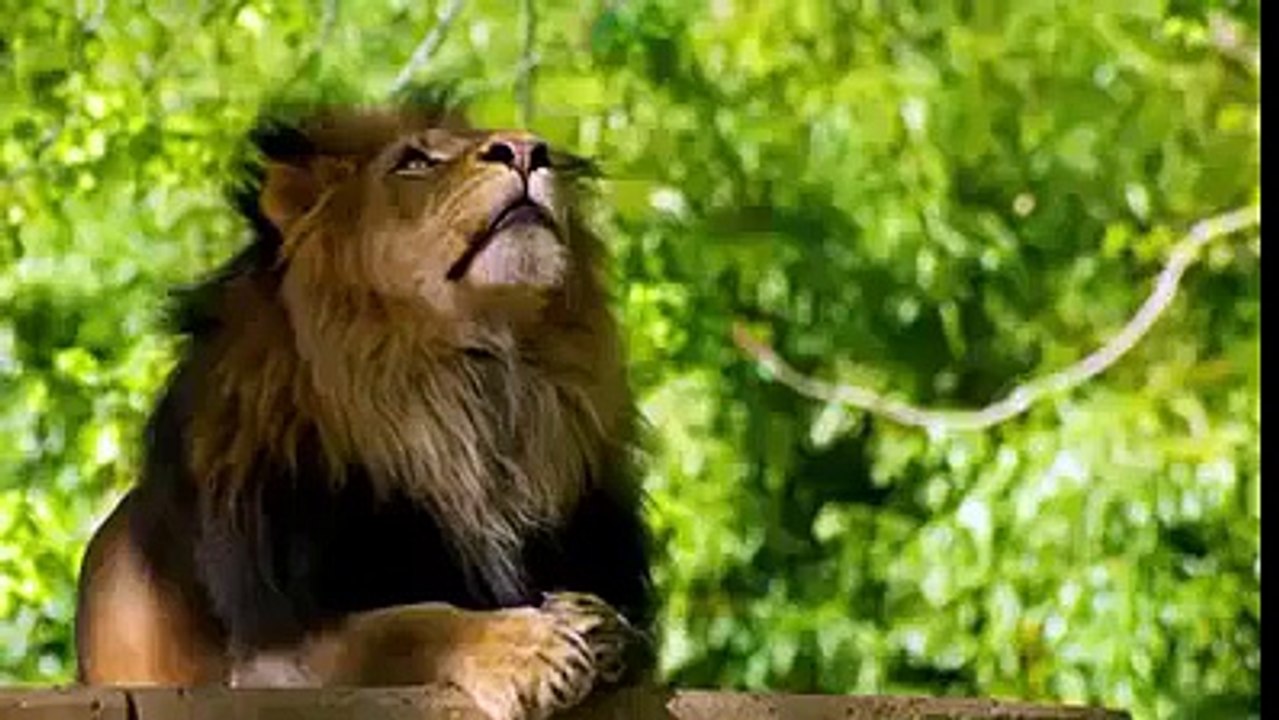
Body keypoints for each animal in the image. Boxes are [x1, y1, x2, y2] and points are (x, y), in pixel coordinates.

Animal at [74, 100, 654, 720]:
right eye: (415, 161)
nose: (527, 150)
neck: (473, 391)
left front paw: (603, 627)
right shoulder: (268, 662)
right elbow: (409, 623)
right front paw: (526, 648)